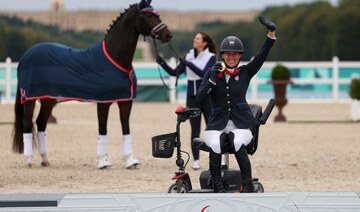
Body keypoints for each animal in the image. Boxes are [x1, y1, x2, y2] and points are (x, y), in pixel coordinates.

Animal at [11, 0, 172, 169]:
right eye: (148, 15)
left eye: (157, 14)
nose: (168, 35)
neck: (115, 60)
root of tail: (25, 56)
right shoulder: (103, 102)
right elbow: (103, 129)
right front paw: (103, 161)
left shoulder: (125, 102)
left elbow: (125, 129)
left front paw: (130, 160)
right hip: (29, 99)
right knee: (27, 124)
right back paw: (29, 160)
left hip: (48, 100)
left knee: (41, 123)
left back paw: (45, 159)